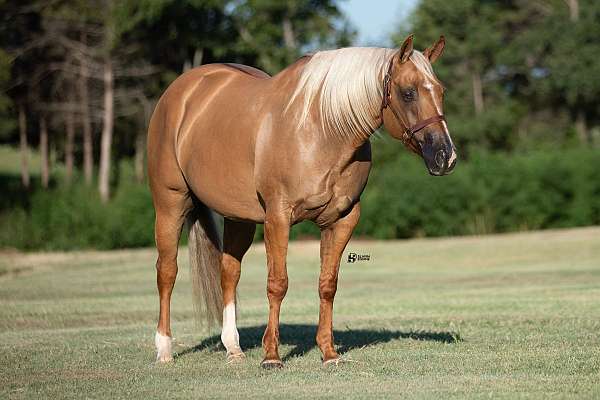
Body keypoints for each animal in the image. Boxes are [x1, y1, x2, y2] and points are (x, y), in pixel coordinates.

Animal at [149, 35, 454, 368]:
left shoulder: (343, 219)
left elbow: (327, 284)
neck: (322, 129)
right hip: (170, 204)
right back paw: (164, 349)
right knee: (167, 272)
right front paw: (271, 356)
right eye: (408, 92)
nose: (445, 157)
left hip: (239, 217)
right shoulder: (278, 217)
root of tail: (181, 92)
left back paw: (233, 348)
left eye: (440, 90)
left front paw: (329, 353)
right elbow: (277, 283)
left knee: (229, 272)